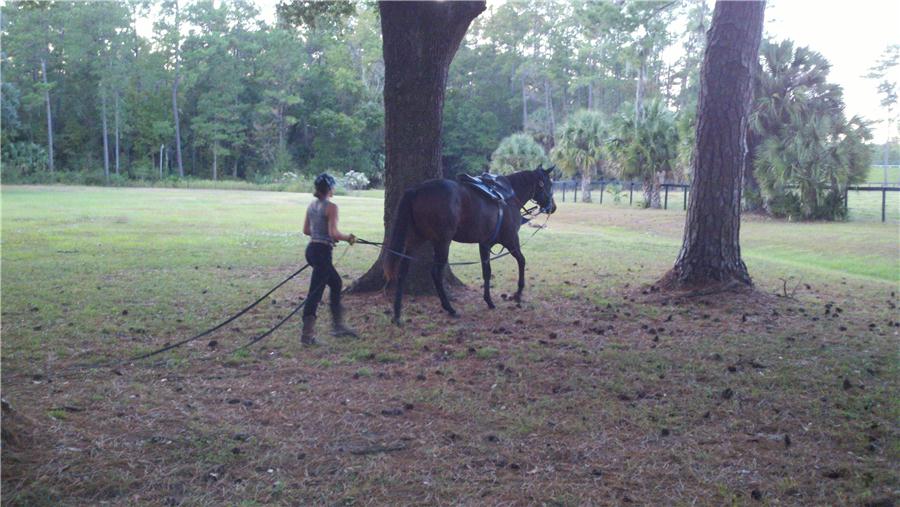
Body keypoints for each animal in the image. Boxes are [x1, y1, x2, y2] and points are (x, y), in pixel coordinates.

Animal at [382, 167, 556, 326]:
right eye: (548, 184)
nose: (552, 207)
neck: (509, 197)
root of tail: (417, 190)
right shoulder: (511, 241)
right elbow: (521, 261)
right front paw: (518, 293)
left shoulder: (484, 244)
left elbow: (487, 272)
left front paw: (489, 300)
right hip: (442, 242)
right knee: (436, 273)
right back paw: (449, 308)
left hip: (414, 240)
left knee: (403, 272)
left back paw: (397, 313)